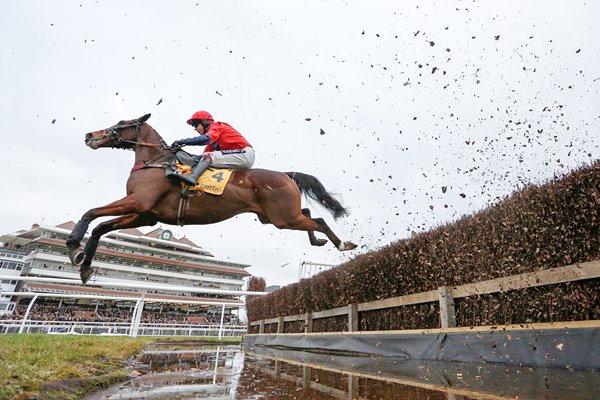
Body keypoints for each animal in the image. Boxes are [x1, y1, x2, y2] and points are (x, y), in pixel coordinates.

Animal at [67, 112, 356, 282]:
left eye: (121, 124)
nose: (90, 135)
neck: (155, 162)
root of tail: (285, 174)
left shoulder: (140, 202)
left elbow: (91, 213)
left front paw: (72, 244)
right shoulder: (145, 215)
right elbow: (101, 227)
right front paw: (83, 264)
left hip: (283, 217)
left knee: (318, 220)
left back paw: (342, 244)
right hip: (277, 217)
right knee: (308, 214)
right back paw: (318, 241)